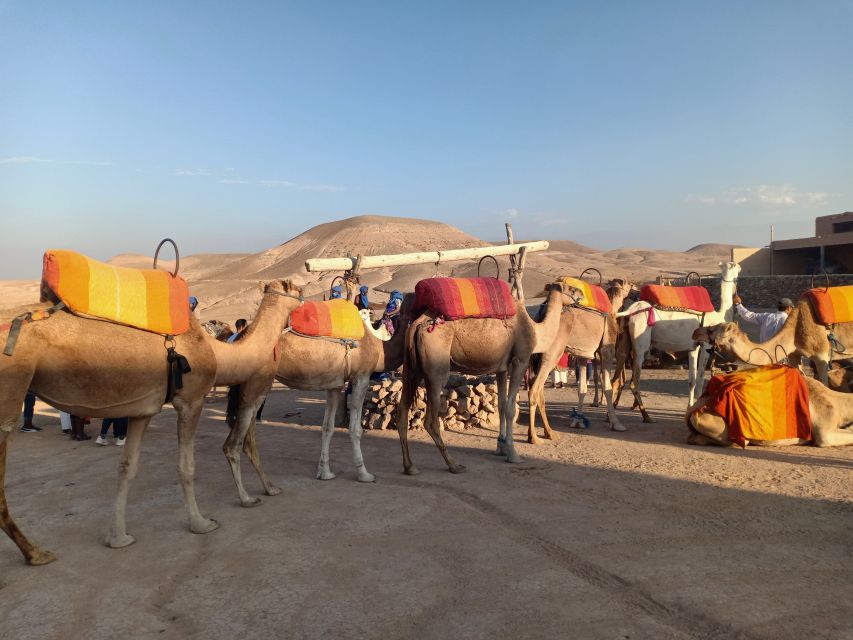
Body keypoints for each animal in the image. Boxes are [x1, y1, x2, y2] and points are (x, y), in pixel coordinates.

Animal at [0, 278, 302, 564]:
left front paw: (118, 537)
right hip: (11, 389)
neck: (216, 351)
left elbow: (127, 467)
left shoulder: (143, 411)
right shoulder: (191, 400)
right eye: (290, 286)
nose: (302, 295)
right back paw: (36, 553)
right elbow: (186, 466)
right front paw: (202, 523)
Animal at [394, 282, 568, 476]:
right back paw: (454, 465)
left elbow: (501, 406)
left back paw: (410, 466)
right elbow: (509, 409)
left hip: (411, 369)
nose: (579, 299)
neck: (535, 328)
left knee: (401, 413)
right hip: (436, 369)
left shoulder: (502, 368)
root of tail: (416, 326)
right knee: (430, 421)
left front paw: (500, 448)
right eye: (572, 290)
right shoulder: (520, 361)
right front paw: (513, 453)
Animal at [524, 278, 636, 442]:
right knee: (536, 387)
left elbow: (582, 388)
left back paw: (545, 432)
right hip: (552, 353)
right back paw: (536, 436)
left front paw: (578, 421)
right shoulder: (606, 351)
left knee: (537, 387)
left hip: (539, 357)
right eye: (629, 284)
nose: (636, 291)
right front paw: (616, 423)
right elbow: (608, 387)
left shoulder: (583, 356)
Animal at [612, 260, 740, 420]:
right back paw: (646, 415)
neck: (718, 316)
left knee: (616, 379)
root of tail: (630, 310)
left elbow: (692, 380)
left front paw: (689, 407)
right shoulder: (705, 346)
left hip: (625, 342)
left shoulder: (693, 347)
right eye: (734, 266)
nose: (740, 267)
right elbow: (700, 380)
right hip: (640, 343)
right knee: (634, 382)